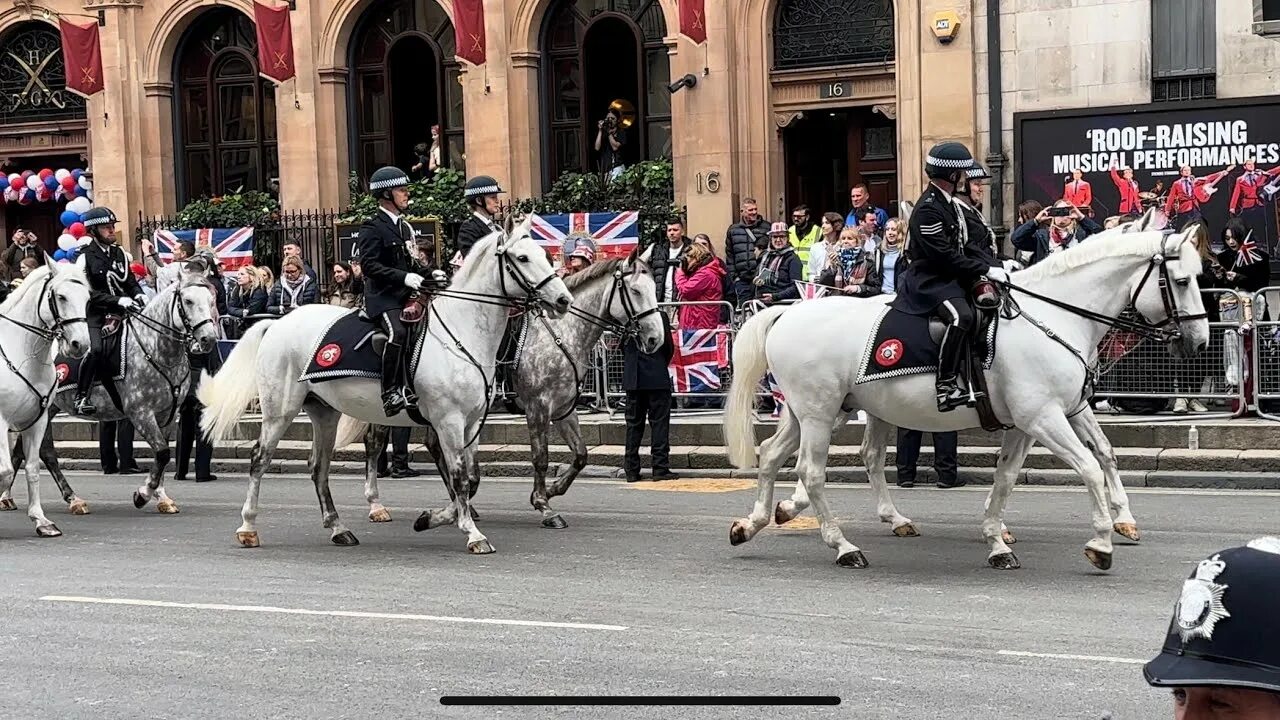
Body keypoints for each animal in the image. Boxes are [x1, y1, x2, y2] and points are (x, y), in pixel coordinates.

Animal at [0, 260, 92, 535]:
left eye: (87, 297)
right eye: (60, 296)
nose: (80, 344)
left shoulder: (37, 420)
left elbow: (31, 468)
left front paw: (42, 521)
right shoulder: (1, 421)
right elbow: (5, 471)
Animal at [1, 267, 220, 509]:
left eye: (211, 299)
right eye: (188, 301)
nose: (209, 339)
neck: (154, 348)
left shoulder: (167, 415)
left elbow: (162, 454)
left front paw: (161, 496)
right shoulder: (140, 413)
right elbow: (162, 453)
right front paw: (143, 494)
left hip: (44, 408)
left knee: (30, 450)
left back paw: (44, 496)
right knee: (42, 451)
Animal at [197, 221, 573, 550]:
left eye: (544, 253)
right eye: (522, 258)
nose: (563, 301)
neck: (461, 333)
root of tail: (276, 323)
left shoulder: (470, 423)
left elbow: (468, 479)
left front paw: (433, 517)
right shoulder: (448, 421)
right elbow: (460, 477)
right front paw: (472, 534)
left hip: (324, 412)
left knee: (318, 467)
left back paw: (338, 528)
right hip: (280, 410)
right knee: (260, 459)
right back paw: (248, 527)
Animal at [727, 221, 1203, 568]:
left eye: (1199, 277)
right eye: (1181, 281)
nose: (1198, 342)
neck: (1054, 317)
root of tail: (789, 311)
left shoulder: (1042, 418)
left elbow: (1024, 473)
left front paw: (998, 539)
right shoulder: (1044, 417)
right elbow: (1089, 467)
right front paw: (1101, 542)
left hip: (816, 411)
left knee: (778, 454)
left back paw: (755, 522)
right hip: (820, 413)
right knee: (811, 471)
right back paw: (842, 546)